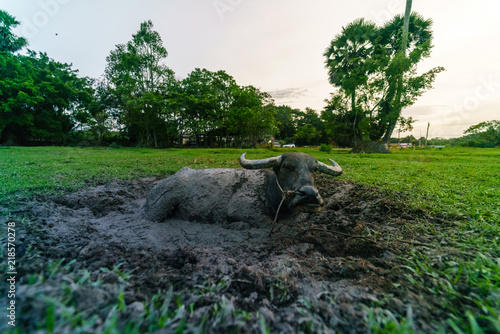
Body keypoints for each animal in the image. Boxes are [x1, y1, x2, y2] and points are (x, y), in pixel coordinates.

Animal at [143, 153, 342, 227]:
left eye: (314, 169)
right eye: (287, 166)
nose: (310, 194)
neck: (268, 190)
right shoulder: (240, 210)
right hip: (163, 203)